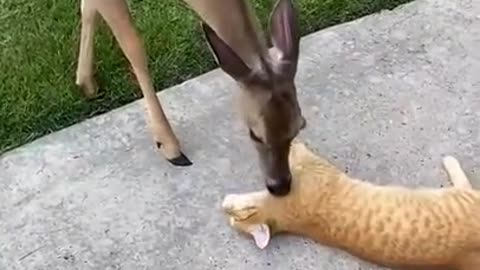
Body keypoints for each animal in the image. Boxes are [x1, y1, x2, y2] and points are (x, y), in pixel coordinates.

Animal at [75, 0, 308, 195]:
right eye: (254, 134)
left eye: (299, 127)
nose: (280, 187)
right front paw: (168, 145)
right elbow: (133, 46)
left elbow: (88, 7)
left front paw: (85, 82)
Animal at [224, 140, 480, 268]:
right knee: (465, 184)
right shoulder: (315, 167)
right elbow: (296, 147)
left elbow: (295, 147)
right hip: (465, 197)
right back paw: (450, 160)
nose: (225, 210)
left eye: (234, 219)